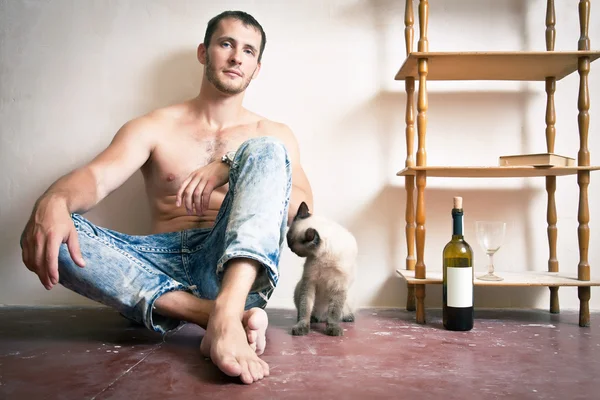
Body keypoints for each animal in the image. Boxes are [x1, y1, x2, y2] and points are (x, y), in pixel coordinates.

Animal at [286, 202, 356, 336]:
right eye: (288, 239)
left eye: (291, 243)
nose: (290, 248)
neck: (325, 254)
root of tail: (322, 317)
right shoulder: (309, 282)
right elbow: (305, 309)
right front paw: (302, 327)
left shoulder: (339, 287)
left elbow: (334, 313)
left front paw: (333, 329)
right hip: (299, 287)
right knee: (308, 312)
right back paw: (313, 319)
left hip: (346, 295)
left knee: (340, 313)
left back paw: (348, 317)